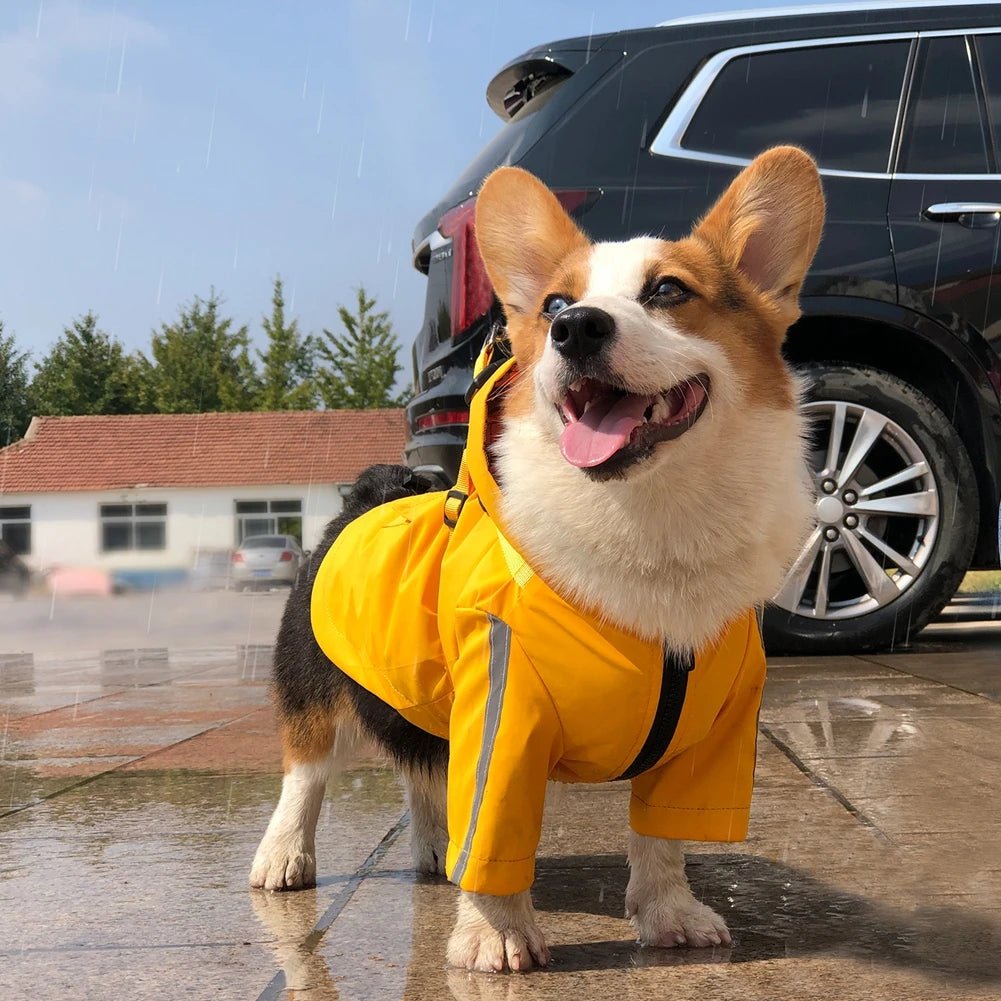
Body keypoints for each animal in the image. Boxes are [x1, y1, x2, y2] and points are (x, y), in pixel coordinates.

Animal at [252, 146, 828, 968]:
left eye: (668, 290)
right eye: (555, 304)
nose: (576, 329)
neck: (650, 518)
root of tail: (369, 491)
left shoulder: (707, 735)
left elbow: (662, 839)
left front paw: (670, 914)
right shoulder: (504, 711)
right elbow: (494, 833)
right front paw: (495, 935)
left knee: (423, 774)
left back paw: (435, 851)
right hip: (313, 687)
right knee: (305, 773)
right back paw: (283, 858)